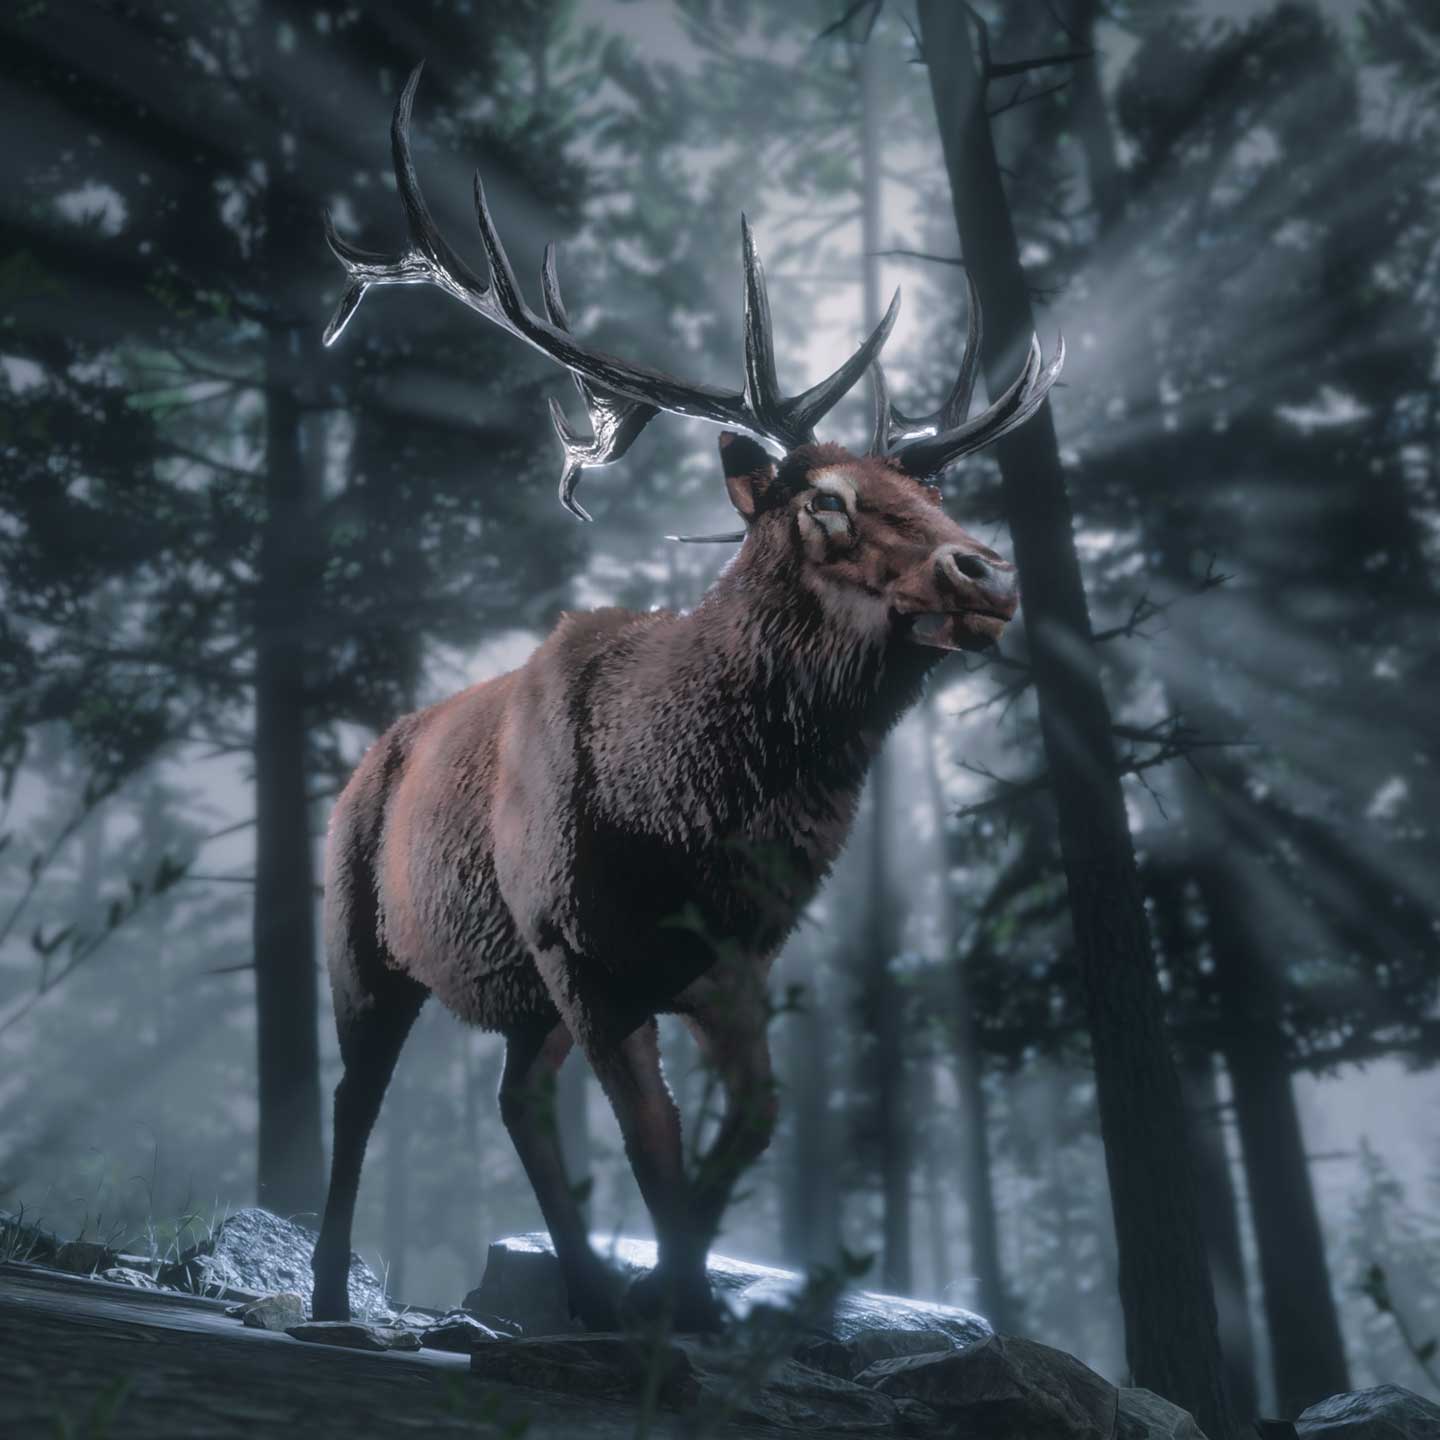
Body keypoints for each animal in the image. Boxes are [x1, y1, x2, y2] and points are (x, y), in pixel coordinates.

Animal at [310, 63, 1062, 1332]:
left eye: (930, 492)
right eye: (825, 502)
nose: (988, 573)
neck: (685, 814)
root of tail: (371, 755)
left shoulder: (734, 958)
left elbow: (745, 1126)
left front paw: (681, 1292)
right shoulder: (576, 947)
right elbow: (654, 1141)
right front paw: (680, 1310)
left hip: (522, 999)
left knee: (517, 1100)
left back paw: (582, 1293)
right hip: (363, 942)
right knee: (356, 1099)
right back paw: (327, 1297)